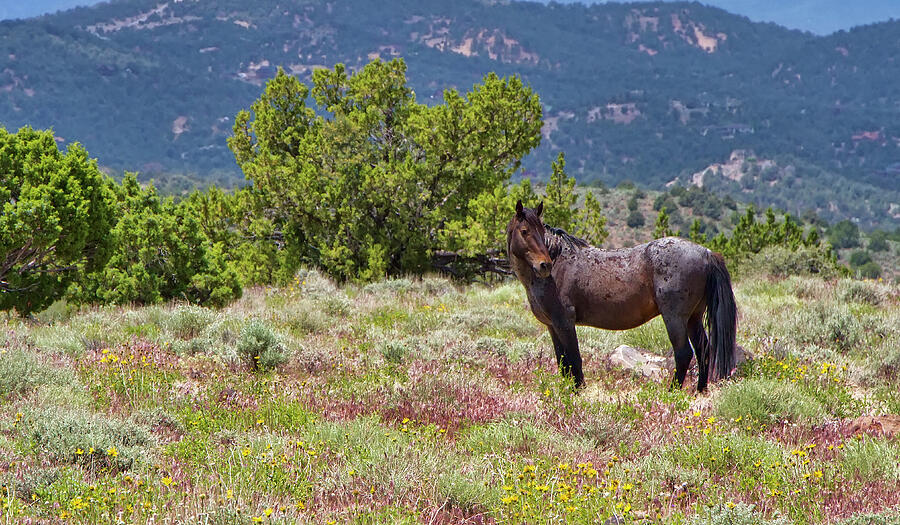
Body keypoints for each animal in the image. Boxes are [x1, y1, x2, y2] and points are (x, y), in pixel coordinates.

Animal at [506, 201, 737, 392]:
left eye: (539, 230)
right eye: (525, 231)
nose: (544, 265)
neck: (558, 262)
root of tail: (706, 253)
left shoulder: (564, 323)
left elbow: (574, 359)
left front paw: (578, 392)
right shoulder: (552, 326)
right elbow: (563, 361)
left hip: (675, 318)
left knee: (683, 353)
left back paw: (672, 393)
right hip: (693, 318)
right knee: (703, 350)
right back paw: (700, 390)